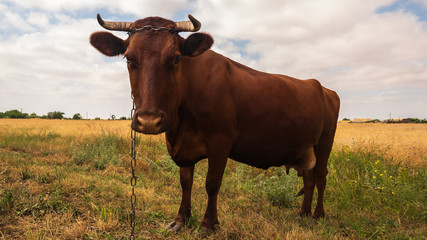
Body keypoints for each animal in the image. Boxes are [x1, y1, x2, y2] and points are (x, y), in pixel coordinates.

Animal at [90, 13, 342, 234]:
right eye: (129, 58)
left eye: (176, 58)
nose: (149, 121)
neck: (180, 123)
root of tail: (322, 87)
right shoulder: (183, 146)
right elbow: (185, 182)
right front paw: (180, 220)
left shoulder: (221, 141)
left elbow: (212, 183)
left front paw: (208, 224)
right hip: (305, 147)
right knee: (309, 178)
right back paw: (302, 213)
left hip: (325, 142)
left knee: (321, 177)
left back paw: (317, 216)